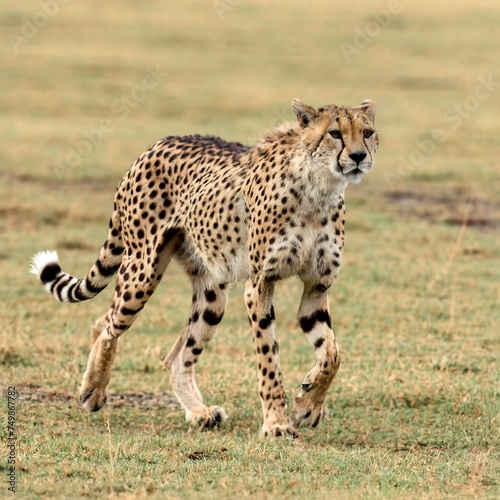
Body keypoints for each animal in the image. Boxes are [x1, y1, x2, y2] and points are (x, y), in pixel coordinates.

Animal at [31, 100, 376, 438]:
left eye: (368, 132)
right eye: (335, 133)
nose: (359, 156)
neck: (320, 186)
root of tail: (156, 144)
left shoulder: (317, 286)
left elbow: (332, 353)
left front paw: (309, 404)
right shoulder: (259, 284)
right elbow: (269, 360)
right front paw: (276, 423)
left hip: (211, 295)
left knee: (172, 355)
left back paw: (199, 412)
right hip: (142, 271)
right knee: (109, 325)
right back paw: (94, 389)